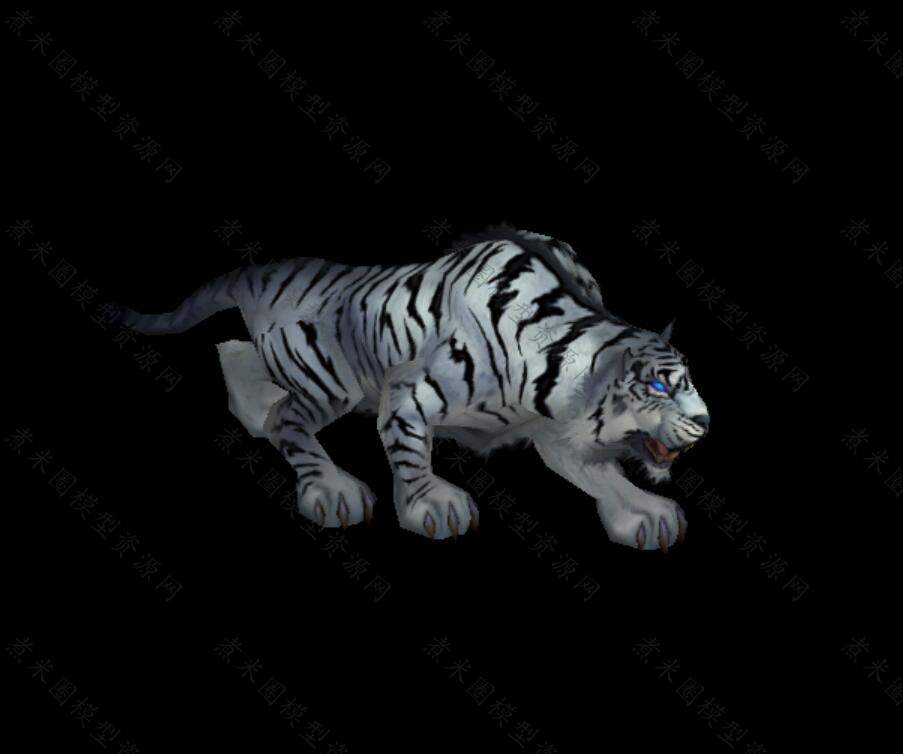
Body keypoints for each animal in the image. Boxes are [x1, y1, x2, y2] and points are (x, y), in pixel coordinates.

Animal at [117, 224, 710, 551]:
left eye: (687, 380)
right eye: (660, 385)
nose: (705, 422)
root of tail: (267, 272)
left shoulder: (555, 430)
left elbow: (602, 473)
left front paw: (644, 512)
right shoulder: (409, 392)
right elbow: (409, 450)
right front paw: (434, 506)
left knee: (238, 356)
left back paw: (253, 413)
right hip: (329, 376)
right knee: (286, 417)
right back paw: (331, 488)